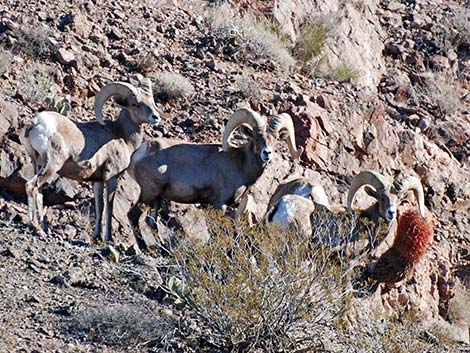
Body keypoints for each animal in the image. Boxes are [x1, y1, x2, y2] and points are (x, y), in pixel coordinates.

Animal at [20, 75, 160, 239]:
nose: (155, 117)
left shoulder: (97, 181)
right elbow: (109, 207)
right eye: (134, 104)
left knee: (39, 192)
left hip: (37, 163)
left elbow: (99, 207)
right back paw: (36, 227)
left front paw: (96, 236)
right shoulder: (111, 177)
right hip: (51, 165)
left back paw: (42, 227)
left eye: (150, 101)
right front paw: (108, 239)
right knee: (31, 186)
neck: (122, 136)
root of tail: (34, 124)